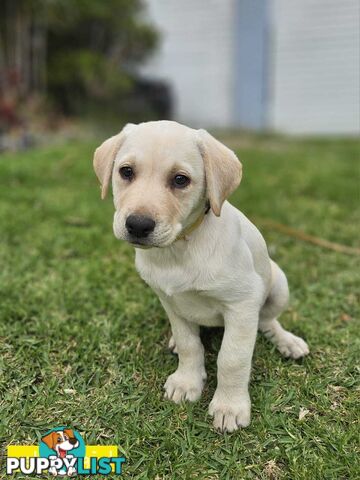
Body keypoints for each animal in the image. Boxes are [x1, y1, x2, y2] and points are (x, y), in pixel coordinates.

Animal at [93, 120, 310, 432]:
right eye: (126, 172)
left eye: (180, 180)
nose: (138, 225)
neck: (180, 248)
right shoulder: (169, 301)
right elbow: (189, 344)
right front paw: (187, 382)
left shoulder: (242, 304)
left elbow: (232, 358)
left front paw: (229, 406)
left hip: (278, 284)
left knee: (267, 320)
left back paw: (287, 341)